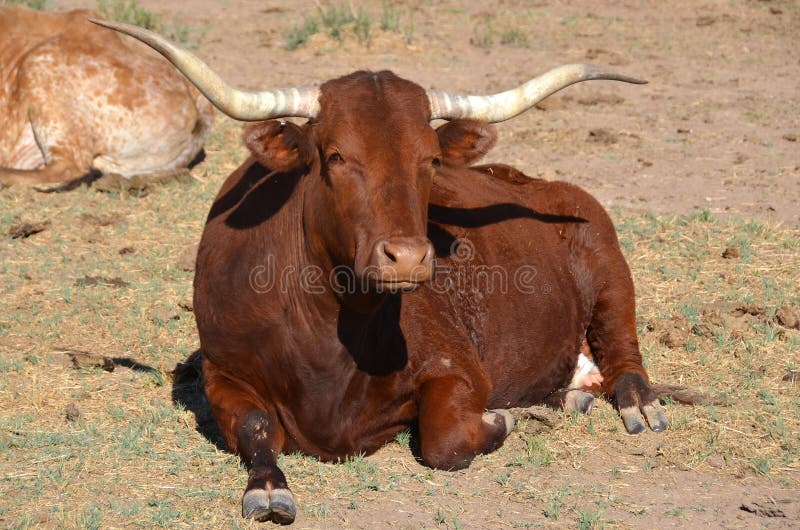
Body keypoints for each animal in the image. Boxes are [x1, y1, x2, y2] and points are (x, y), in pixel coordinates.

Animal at [98, 19, 668, 520]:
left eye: (432, 160)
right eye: (334, 156)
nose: (409, 258)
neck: (327, 335)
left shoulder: (459, 365)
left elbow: (445, 438)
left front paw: (504, 417)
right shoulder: (223, 372)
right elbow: (258, 429)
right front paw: (268, 488)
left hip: (609, 262)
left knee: (624, 354)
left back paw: (638, 404)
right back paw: (570, 398)